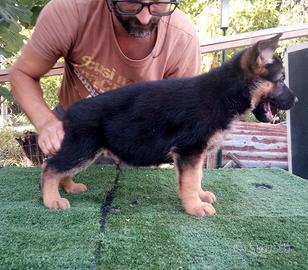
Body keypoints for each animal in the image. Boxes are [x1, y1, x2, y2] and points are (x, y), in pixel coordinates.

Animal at [40, 33, 296, 216]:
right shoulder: (189, 150)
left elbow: (196, 178)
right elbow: (190, 182)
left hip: (84, 151)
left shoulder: (195, 154)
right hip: (83, 148)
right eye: (281, 80)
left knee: (61, 168)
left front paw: (201, 196)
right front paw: (195, 207)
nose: (297, 101)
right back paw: (52, 199)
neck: (225, 94)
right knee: (50, 167)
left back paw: (70, 187)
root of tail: (70, 113)